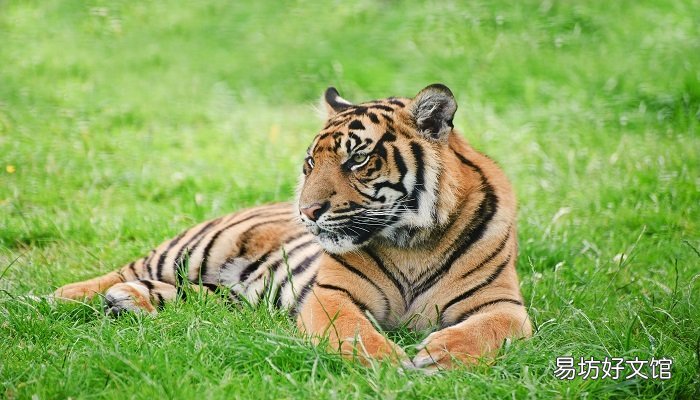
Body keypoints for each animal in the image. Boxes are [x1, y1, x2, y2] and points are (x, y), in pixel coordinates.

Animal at [54, 84, 532, 370]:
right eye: (310, 163)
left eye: (357, 158)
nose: (306, 211)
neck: (412, 241)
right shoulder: (331, 295)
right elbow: (355, 331)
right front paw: (388, 363)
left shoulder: (503, 305)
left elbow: (488, 330)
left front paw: (437, 356)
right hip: (198, 246)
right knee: (128, 269)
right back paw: (63, 297)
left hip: (241, 296)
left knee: (200, 296)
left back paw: (129, 301)